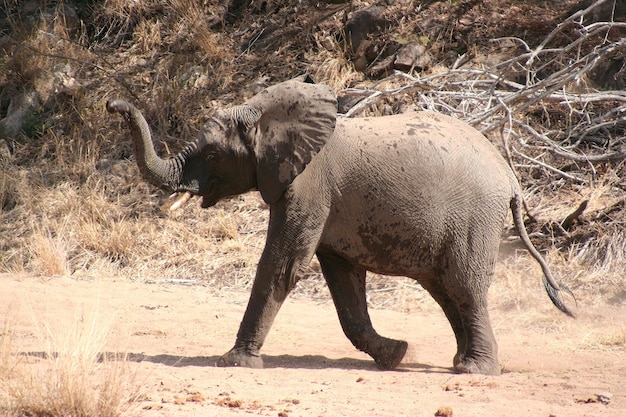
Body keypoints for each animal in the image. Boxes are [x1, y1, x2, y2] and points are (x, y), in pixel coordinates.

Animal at [105, 74, 572, 374]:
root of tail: (511, 178)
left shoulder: (308, 185)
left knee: (463, 287)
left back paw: (474, 371)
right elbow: (343, 285)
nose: (111, 103)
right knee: (445, 291)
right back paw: (456, 361)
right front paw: (395, 354)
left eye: (214, 154)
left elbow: (283, 264)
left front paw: (235, 362)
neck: (265, 111)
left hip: (475, 218)